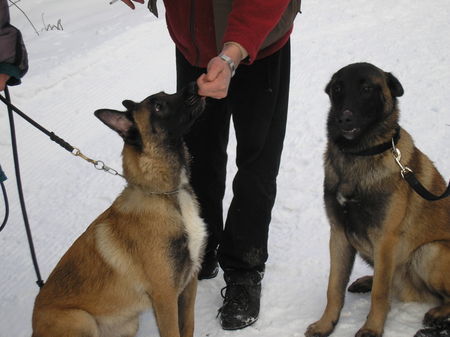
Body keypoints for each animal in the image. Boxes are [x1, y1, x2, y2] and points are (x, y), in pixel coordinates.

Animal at [32, 82, 207, 336]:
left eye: (165, 94)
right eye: (157, 106)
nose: (196, 84)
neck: (166, 195)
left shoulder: (189, 282)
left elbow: (189, 325)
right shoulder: (165, 296)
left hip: (128, 324)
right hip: (81, 319)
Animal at [306, 63, 450, 336]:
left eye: (366, 89)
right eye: (337, 88)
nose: (343, 118)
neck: (359, 154)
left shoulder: (385, 239)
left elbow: (380, 294)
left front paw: (372, 327)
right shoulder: (339, 234)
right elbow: (333, 288)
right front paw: (326, 323)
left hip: (429, 252)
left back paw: (438, 314)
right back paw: (366, 280)